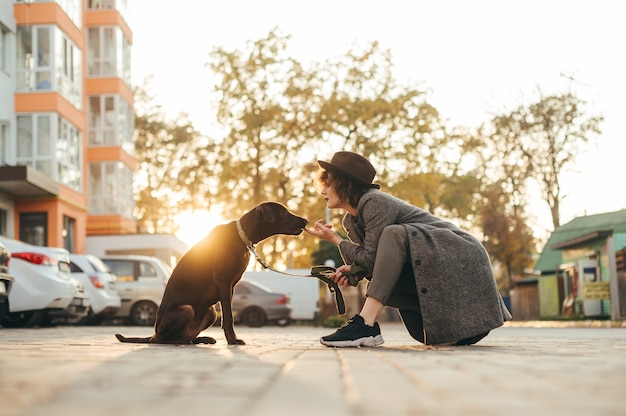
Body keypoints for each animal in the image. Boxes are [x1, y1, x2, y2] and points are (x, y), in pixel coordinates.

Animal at [115, 202, 308, 344]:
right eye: (283, 212)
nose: (305, 221)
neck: (242, 236)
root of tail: (154, 332)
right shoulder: (224, 282)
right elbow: (229, 317)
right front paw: (233, 340)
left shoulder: (231, 286)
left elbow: (228, 315)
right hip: (186, 310)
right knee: (160, 339)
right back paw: (179, 341)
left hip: (210, 312)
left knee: (185, 335)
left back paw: (200, 339)